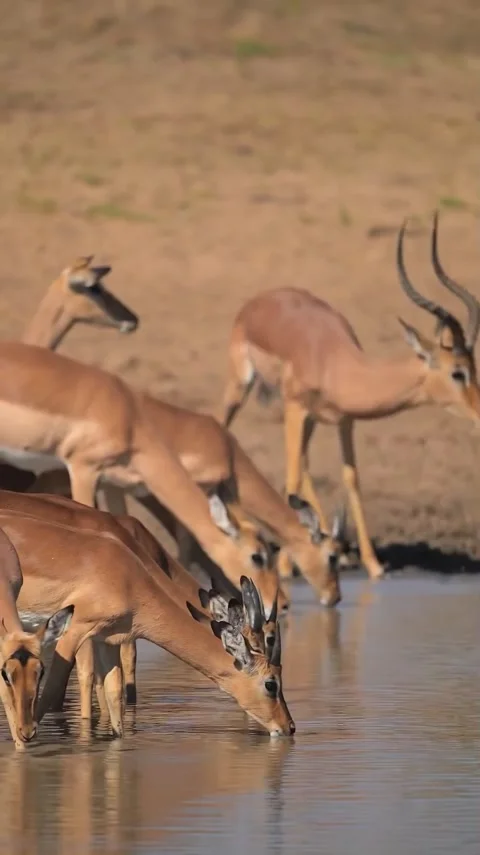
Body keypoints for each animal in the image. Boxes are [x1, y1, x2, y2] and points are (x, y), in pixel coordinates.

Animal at [221, 212, 480, 578]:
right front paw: (286, 564)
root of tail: (261, 299)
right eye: (458, 372)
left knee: (305, 462)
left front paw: (373, 564)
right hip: (241, 386)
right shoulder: (296, 408)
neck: (335, 363)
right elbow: (292, 477)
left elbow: (351, 478)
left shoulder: (345, 421)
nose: (479, 413)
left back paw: (335, 549)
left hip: (311, 420)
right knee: (227, 427)